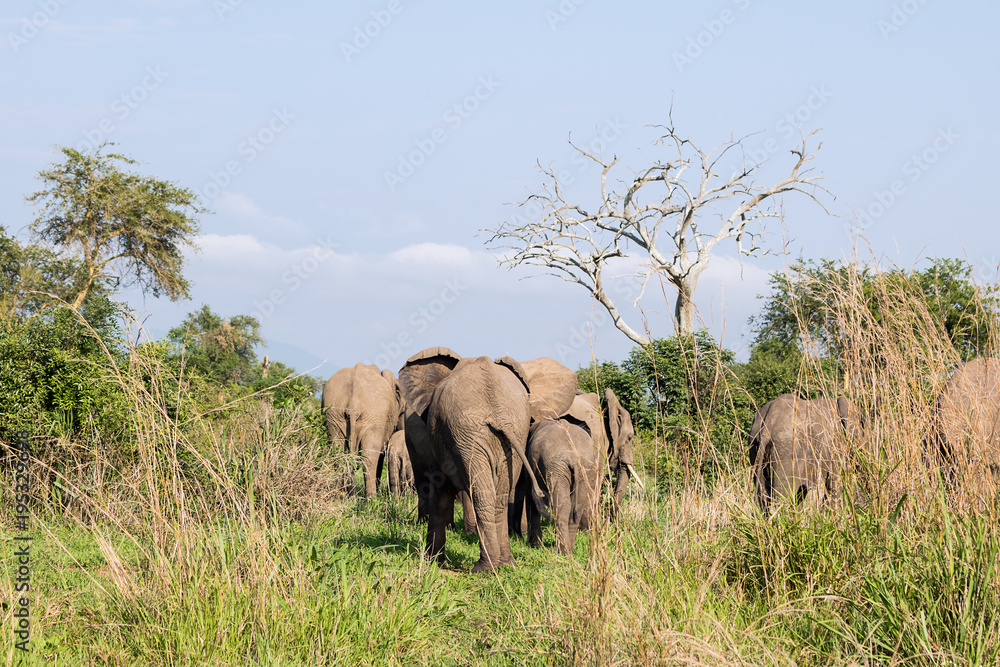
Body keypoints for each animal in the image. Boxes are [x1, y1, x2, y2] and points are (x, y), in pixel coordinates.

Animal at [321, 363, 402, 497]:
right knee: (369, 458)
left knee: (339, 454)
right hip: (374, 416)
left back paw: (342, 496)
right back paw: (371, 499)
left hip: (333, 414)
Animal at [399, 348, 577, 572]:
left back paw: (485, 567)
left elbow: (439, 490)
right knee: (498, 498)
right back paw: (505, 564)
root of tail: (497, 410)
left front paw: (434, 562)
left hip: (469, 433)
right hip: (507, 432)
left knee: (482, 496)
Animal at [518, 417, 600, 555]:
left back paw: (563, 551)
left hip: (557, 468)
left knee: (562, 505)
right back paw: (568, 550)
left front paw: (534, 545)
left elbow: (531, 497)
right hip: (584, 469)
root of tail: (573, 456)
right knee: (575, 507)